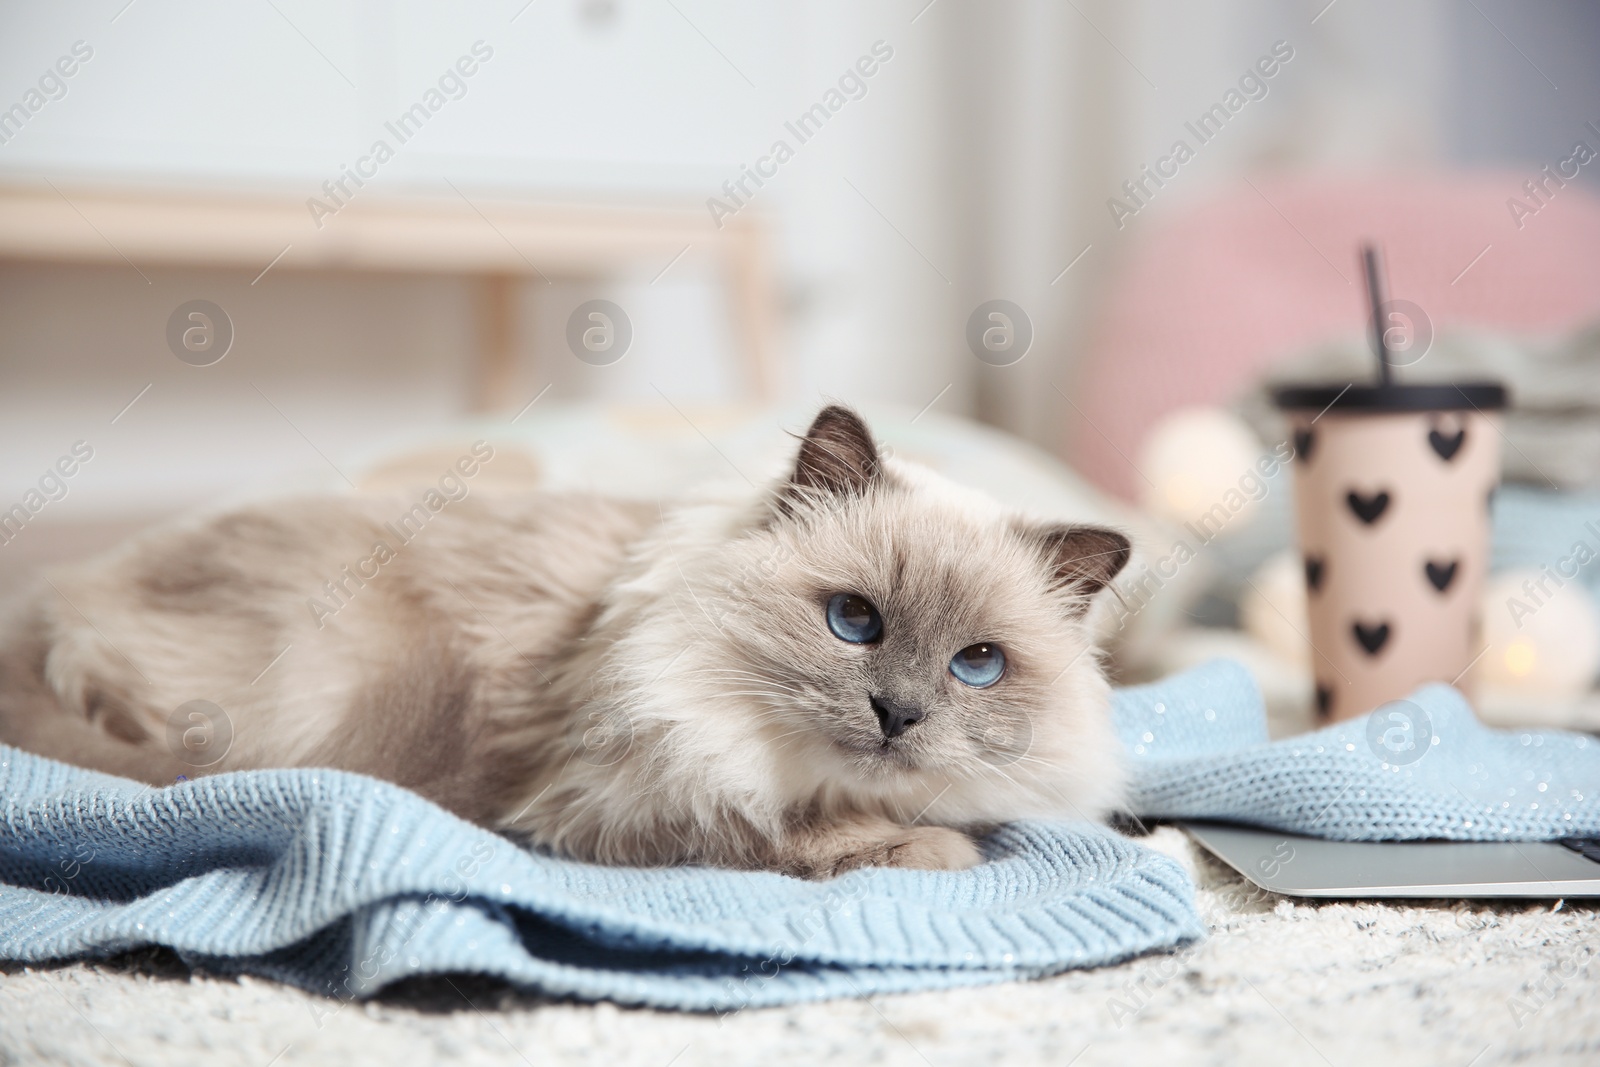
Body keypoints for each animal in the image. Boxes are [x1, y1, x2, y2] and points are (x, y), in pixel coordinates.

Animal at [0, 404, 1132, 883]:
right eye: (853, 619)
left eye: (976, 665)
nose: (897, 713)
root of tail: (47, 600)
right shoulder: (623, 798)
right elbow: (814, 833)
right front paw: (928, 847)